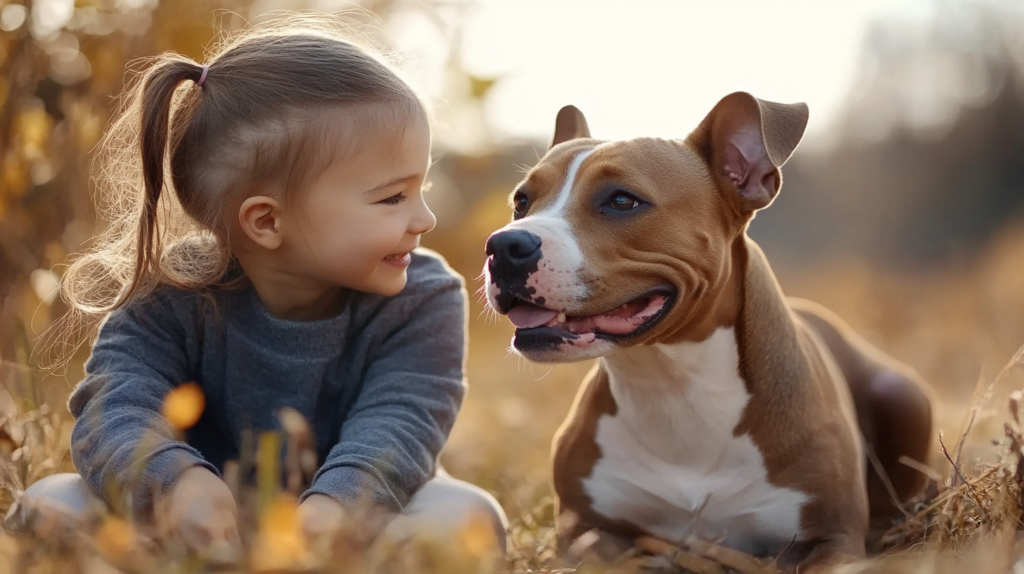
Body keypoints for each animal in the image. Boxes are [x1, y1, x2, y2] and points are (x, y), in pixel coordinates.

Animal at [483, 91, 933, 568]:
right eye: (522, 201)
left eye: (622, 201)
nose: (503, 245)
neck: (672, 383)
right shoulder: (584, 532)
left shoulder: (834, 538)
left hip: (902, 396)